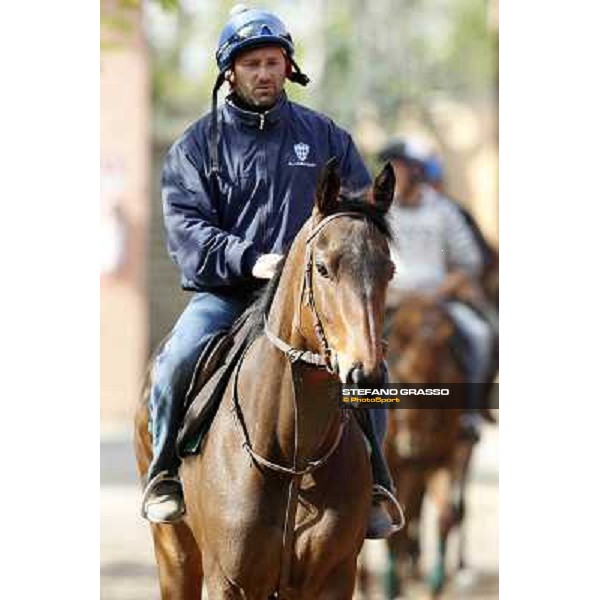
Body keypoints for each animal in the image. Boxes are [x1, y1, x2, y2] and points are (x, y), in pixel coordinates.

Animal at [136, 161, 398, 600]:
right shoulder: (229, 581)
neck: (291, 451)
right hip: (175, 555)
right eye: (323, 268)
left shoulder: (335, 576)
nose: (366, 374)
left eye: (389, 271)